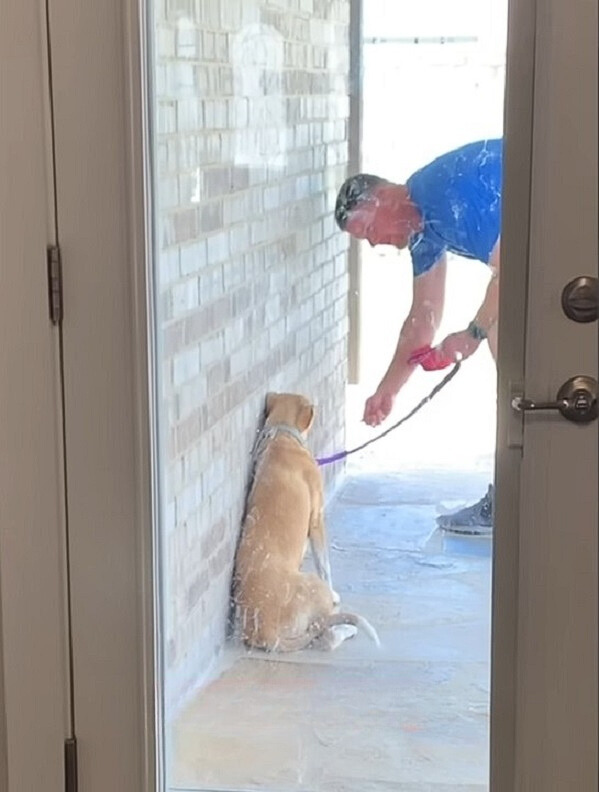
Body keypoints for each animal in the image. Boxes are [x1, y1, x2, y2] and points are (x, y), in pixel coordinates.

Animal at [233, 392, 380, 652]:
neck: (281, 437)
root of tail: (266, 633)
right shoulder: (317, 519)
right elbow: (325, 565)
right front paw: (334, 593)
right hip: (312, 584)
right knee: (326, 637)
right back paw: (347, 629)